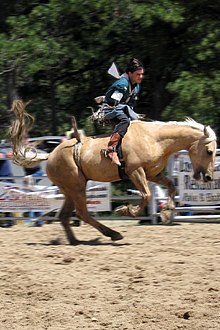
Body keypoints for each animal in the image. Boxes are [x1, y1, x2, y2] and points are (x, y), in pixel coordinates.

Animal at [9, 100, 217, 245]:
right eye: (209, 151)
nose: (208, 177)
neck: (154, 139)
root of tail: (50, 155)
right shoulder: (135, 171)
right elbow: (146, 195)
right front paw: (127, 210)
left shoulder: (152, 174)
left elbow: (171, 186)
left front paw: (167, 212)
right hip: (76, 187)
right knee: (82, 213)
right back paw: (113, 234)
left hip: (69, 189)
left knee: (65, 216)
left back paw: (76, 241)